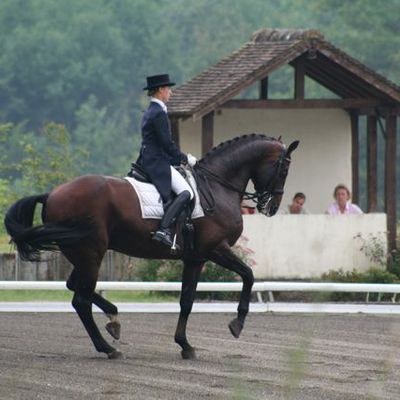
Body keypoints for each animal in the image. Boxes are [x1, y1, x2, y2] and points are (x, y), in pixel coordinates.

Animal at [3, 134, 296, 360]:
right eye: (283, 170)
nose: (270, 207)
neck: (217, 186)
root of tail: (52, 194)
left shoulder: (195, 258)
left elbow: (187, 300)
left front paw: (185, 345)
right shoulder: (215, 249)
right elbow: (248, 275)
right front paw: (237, 323)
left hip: (82, 254)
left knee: (74, 287)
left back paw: (114, 319)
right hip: (90, 253)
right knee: (80, 300)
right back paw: (108, 348)